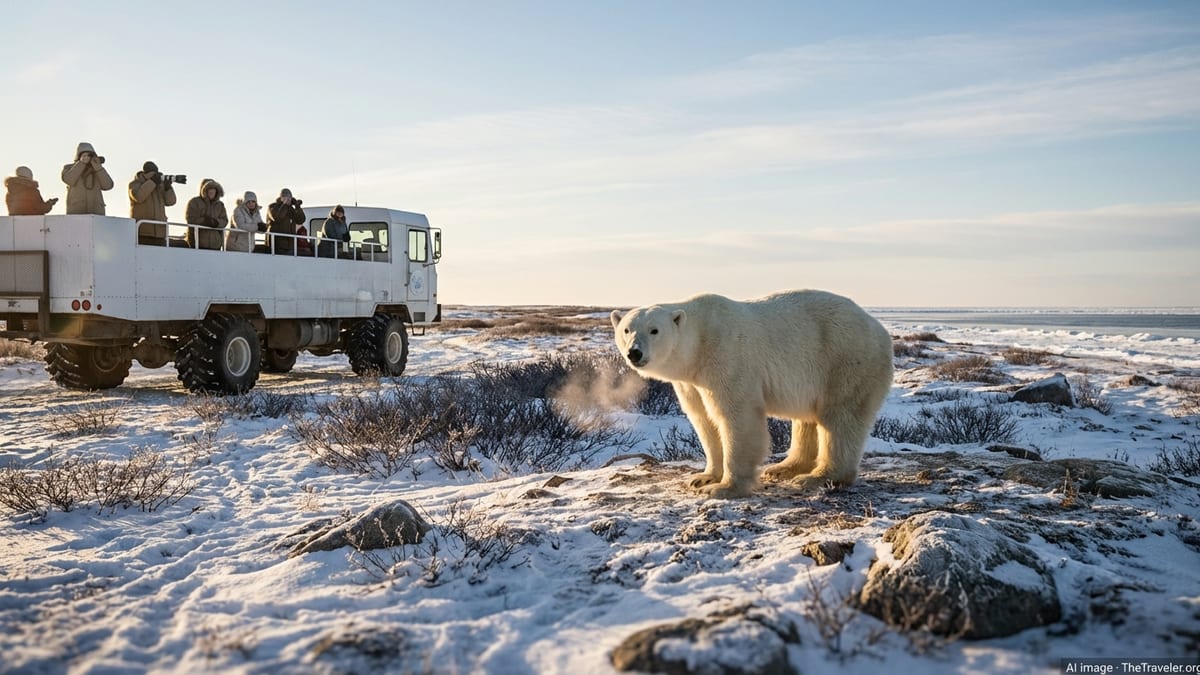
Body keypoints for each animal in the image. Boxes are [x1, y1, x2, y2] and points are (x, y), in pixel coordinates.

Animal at [611, 289, 893, 498]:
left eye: (654, 330)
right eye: (626, 329)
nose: (634, 353)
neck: (699, 341)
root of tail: (880, 329)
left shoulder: (726, 357)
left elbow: (736, 416)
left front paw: (724, 487)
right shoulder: (691, 382)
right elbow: (704, 420)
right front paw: (702, 478)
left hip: (844, 361)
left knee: (840, 418)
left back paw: (816, 478)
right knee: (807, 419)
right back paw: (783, 468)